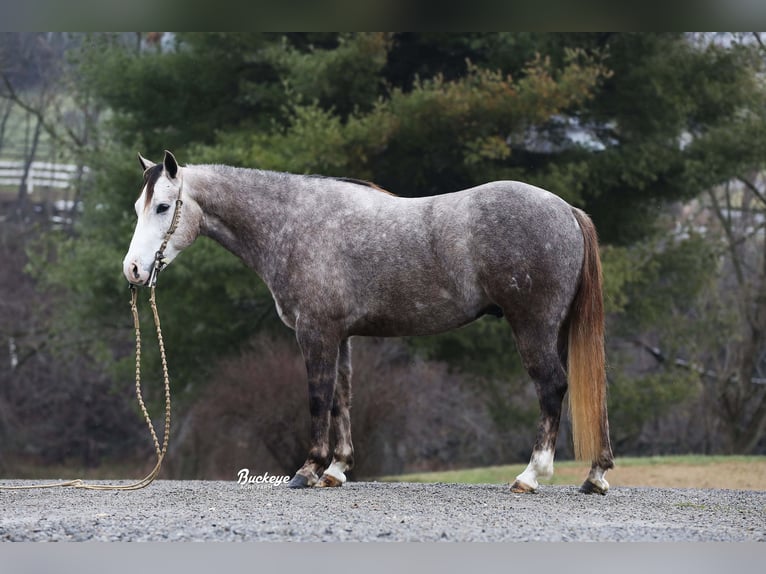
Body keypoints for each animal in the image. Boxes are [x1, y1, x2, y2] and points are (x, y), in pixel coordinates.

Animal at [126, 152, 616, 496]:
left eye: (164, 207)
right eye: (137, 206)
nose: (132, 270)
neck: (295, 222)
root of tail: (567, 210)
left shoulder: (315, 333)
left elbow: (318, 398)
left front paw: (308, 470)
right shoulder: (341, 337)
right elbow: (342, 399)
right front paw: (336, 470)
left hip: (533, 326)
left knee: (552, 387)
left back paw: (531, 476)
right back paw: (594, 476)